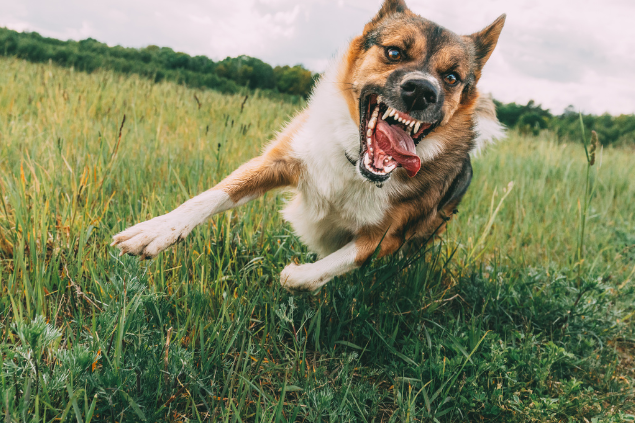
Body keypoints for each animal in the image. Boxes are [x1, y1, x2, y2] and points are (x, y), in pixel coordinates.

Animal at [110, 0, 506, 294]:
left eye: (451, 77)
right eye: (394, 52)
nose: (423, 91)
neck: (355, 165)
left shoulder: (387, 237)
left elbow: (336, 263)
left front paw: (298, 274)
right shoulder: (279, 160)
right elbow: (212, 195)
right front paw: (156, 231)